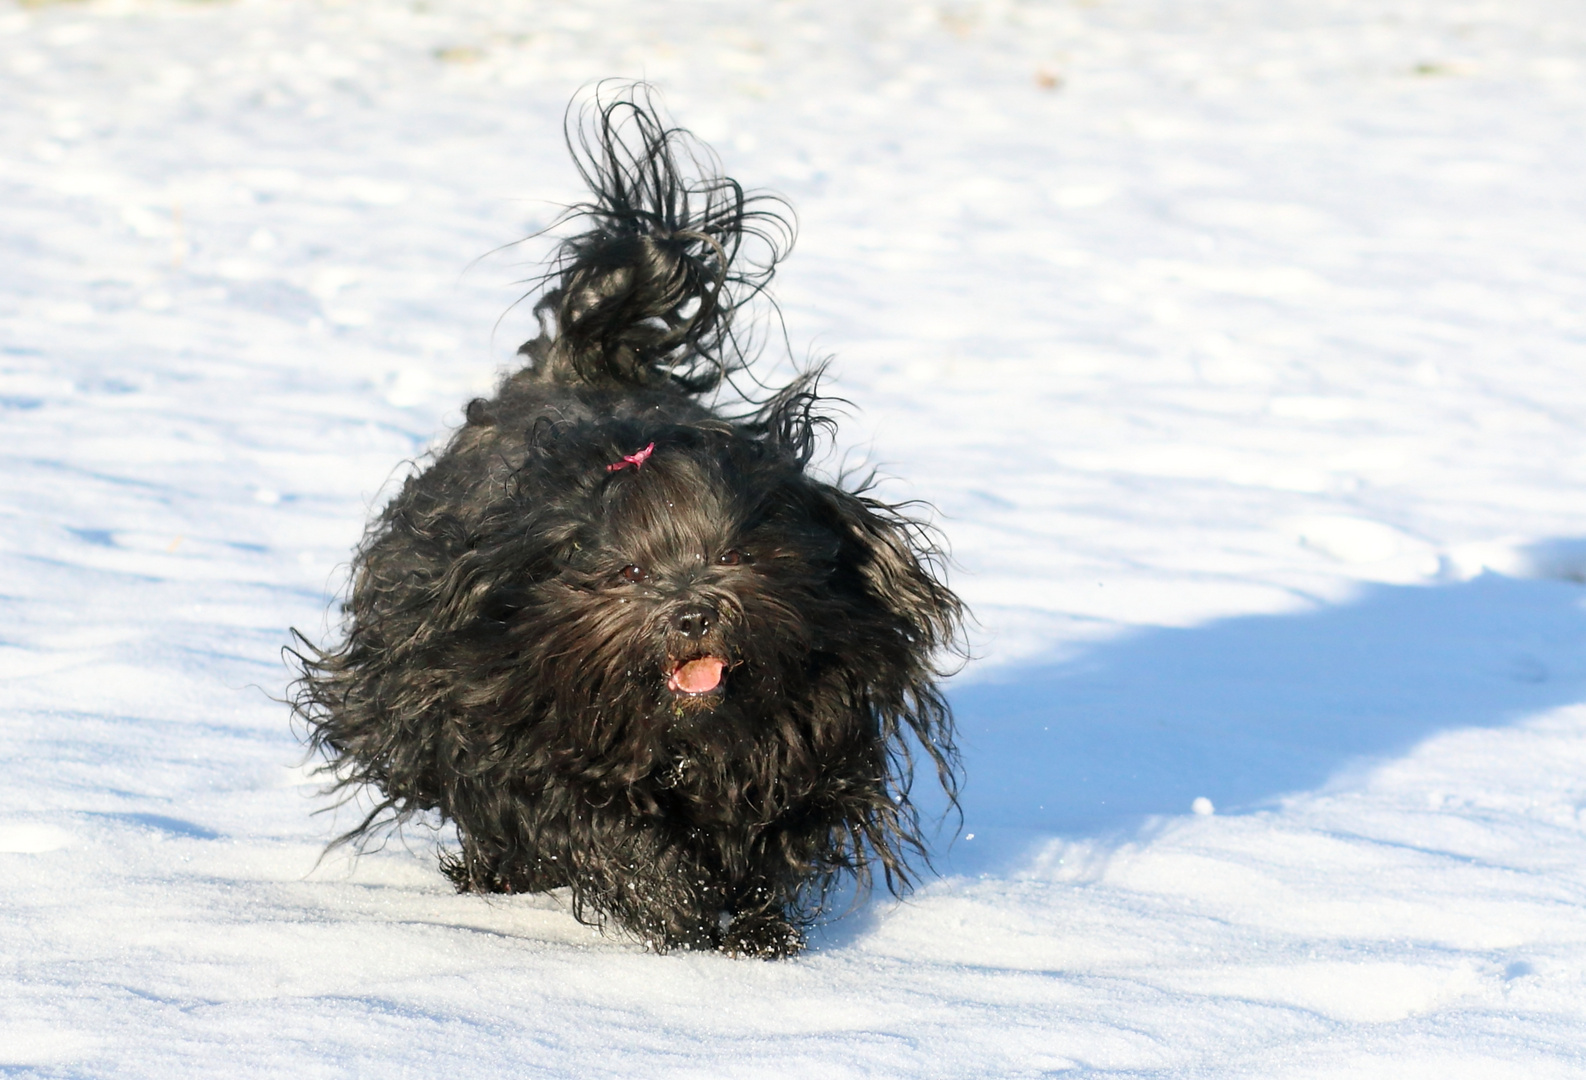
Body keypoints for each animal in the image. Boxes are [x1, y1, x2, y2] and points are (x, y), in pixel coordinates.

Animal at [294, 88, 964, 957]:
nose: (693, 613)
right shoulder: (497, 720)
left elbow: (778, 832)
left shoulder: (816, 733)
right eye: (631, 573)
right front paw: (672, 906)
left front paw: (759, 933)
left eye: (736, 554)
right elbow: (583, 816)